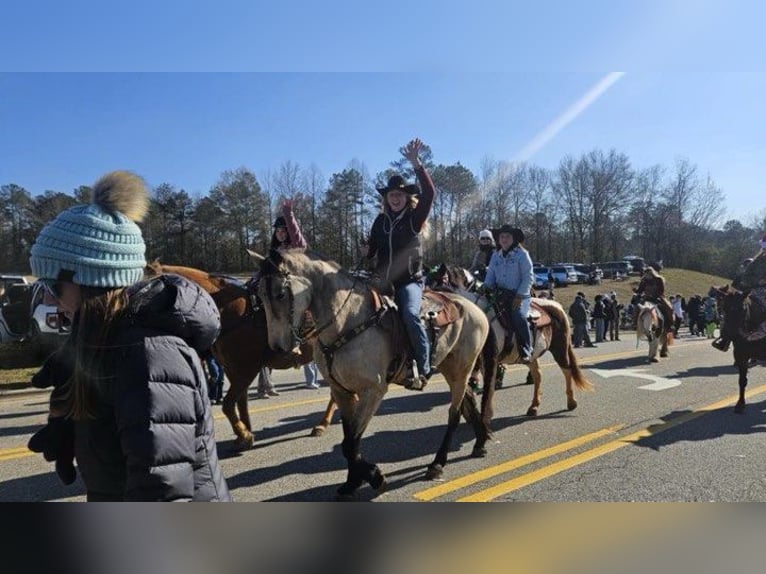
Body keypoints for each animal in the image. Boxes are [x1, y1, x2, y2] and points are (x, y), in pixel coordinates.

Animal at [146, 264, 326, 452]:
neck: (233, 313)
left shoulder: (246, 369)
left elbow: (228, 404)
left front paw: (244, 434)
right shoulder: (233, 369)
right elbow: (240, 403)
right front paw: (245, 435)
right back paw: (322, 425)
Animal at [255, 251, 496, 500]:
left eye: (280, 293)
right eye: (259, 295)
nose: (278, 347)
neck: (347, 322)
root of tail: (474, 307)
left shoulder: (373, 391)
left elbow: (351, 442)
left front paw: (374, 477)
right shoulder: (341, 391)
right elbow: (349, 440)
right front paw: (353, 482)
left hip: (462, 369)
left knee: (454, 414)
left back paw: (437, 464)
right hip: (453, 369)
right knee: (468, 402)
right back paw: (480, 442)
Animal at [444, 266, 592, 418]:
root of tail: (556, 305)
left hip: (560, 349)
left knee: (567, 370)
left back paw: (571, 402)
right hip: (532, 355)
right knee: (538, 375)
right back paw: (533, 406)